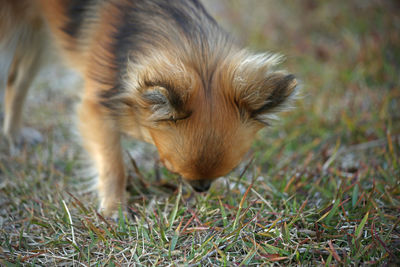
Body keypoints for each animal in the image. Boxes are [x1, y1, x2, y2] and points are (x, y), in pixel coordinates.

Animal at [0, 0, 296, 217]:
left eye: (229, 169)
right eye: (171, 167)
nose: (201, 188)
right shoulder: (96, 109)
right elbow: (113, 165)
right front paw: (115, 209)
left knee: (17, 80)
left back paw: (14, 135)